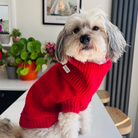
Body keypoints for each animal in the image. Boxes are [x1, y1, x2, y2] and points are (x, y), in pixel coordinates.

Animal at [0, 8, 126, 138]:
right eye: (75, 30)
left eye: (96, 28)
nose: (84, 38)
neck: (85, 65)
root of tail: (22, 132)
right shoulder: (69, 104)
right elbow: (71, 127)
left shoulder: (82, 102)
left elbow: (85, 117)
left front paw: (84, 130)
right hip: (51, 129)